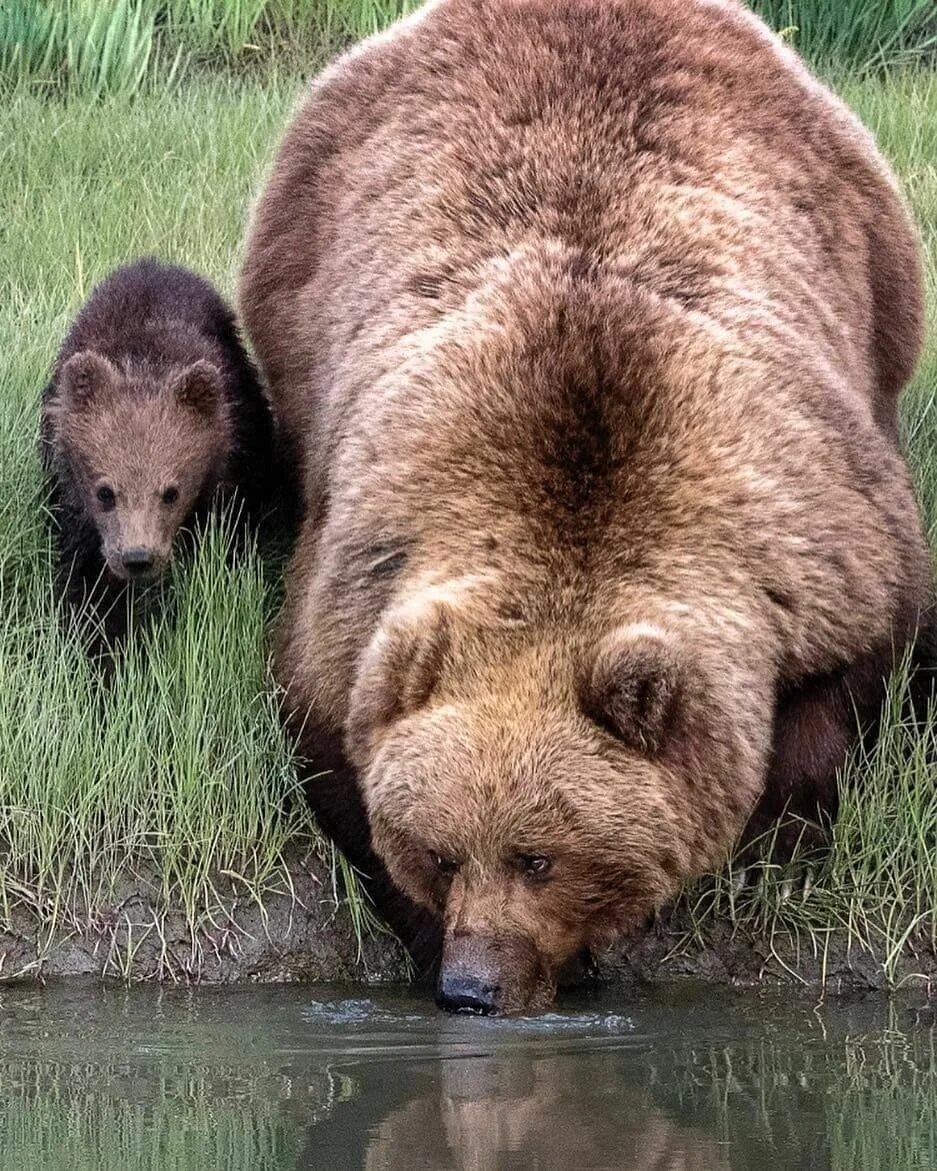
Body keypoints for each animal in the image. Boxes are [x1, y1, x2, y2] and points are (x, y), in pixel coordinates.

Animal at [41, 258, 289, 651]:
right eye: (105, 492)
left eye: (171, 492)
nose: (137, 557)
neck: (144, 361)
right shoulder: (75, 509)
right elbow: (88, 585)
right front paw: (101, 646)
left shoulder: (231, 477)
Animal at [240, 0, 937, 1011]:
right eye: (445, 852)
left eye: (538, 855)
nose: (472, 987)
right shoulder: (359, 575)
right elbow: (340, 755)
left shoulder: (815, 537)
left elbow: (841, 692)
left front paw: (764, 840)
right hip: (296, 275)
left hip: (874, 259)